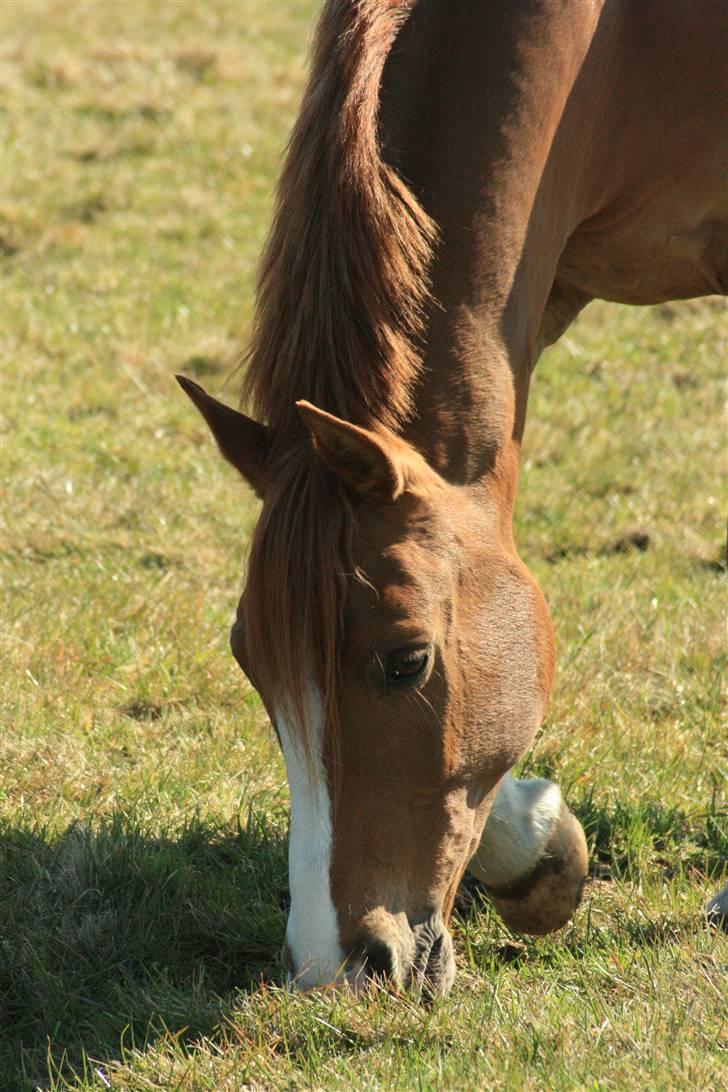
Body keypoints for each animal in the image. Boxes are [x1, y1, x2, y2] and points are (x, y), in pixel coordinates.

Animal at [177, 0, 728, 991]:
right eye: (248, 658)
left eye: (406, 661)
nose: (338, 966)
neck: (615, 42)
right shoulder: (531, 290)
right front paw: (538, 845)